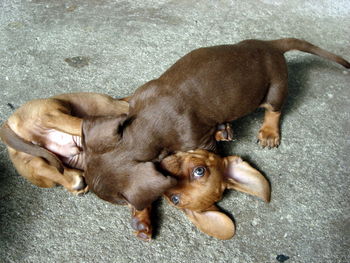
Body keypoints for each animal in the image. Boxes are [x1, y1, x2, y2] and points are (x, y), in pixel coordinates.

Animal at [85, 38, 350, 217]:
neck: (148, 123)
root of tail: (271, 45)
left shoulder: (199, 140)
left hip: (276, 86)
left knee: (273, 109)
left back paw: (269, 132)